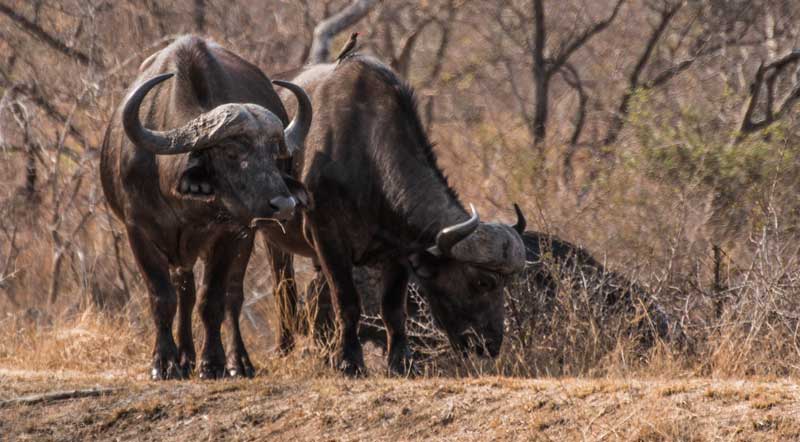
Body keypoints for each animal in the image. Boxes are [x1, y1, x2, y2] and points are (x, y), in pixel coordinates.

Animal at [100, 35, 312, 380]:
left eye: (273, 154)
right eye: (231, 153)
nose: (283, 204)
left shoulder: (229, 233)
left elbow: (212, 299)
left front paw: (213, 362)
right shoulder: (138, 230)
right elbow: (162, 297)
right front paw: (165, 362)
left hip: (244, 239)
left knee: (231, 296)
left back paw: (238, 362)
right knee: (183, 292)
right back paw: (185, 357)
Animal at [256, 53, 528, 374]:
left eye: (507, 283)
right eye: (483, 281)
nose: (491, 344)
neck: (363, 152)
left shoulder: (398, 250)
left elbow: (392, 308)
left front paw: (400, 361)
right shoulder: (328, 239)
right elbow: (347, 301)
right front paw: (349, 361)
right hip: (272, 236)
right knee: (282, 286)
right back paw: (285, 348)